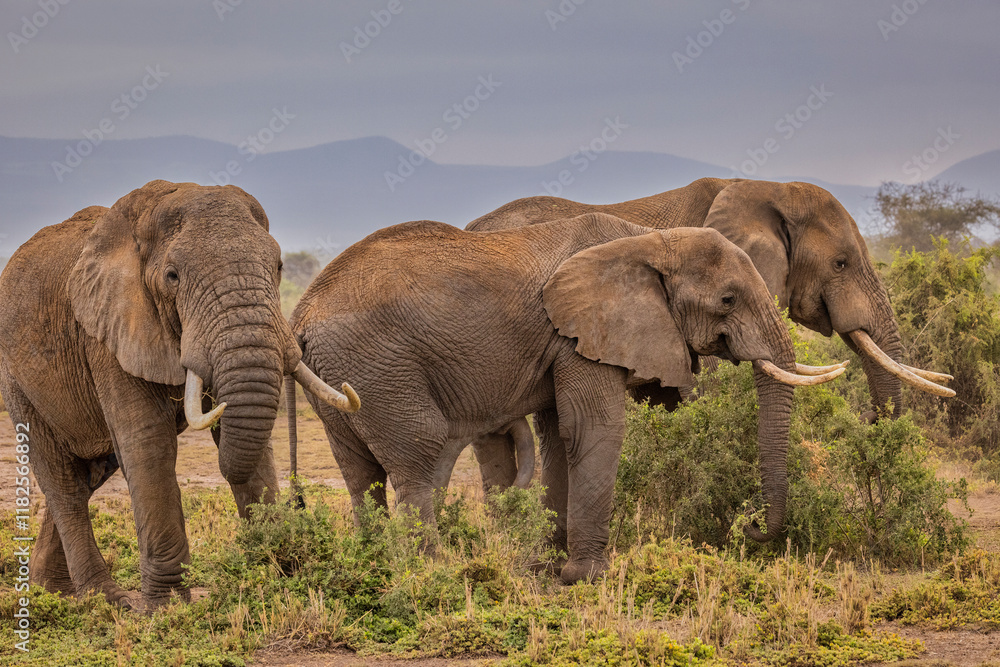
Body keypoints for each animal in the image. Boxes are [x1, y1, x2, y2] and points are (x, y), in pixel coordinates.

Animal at [0, 180, 359, 609]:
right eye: (172, 276)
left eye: (278, 267)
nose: (299, 505)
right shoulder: (108, 335)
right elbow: (149, 445)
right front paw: (170, 607)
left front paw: (277, 578)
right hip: (16, 378)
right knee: (64, 483)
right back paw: (106, 601)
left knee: (91, 473)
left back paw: (50, 590)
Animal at [289, 213, 843, 584]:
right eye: (727, 300)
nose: (749, 529)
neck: (648, 240)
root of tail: (300, 316)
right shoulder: (583, 332)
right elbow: (594, 429)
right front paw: (590, 576)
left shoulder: (567, 340)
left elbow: (559, 434)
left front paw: (550, 565)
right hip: (379, 367)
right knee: (416, 458)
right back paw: (432, 570)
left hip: (343, 377)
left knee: (359, 473)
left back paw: (377, 562)